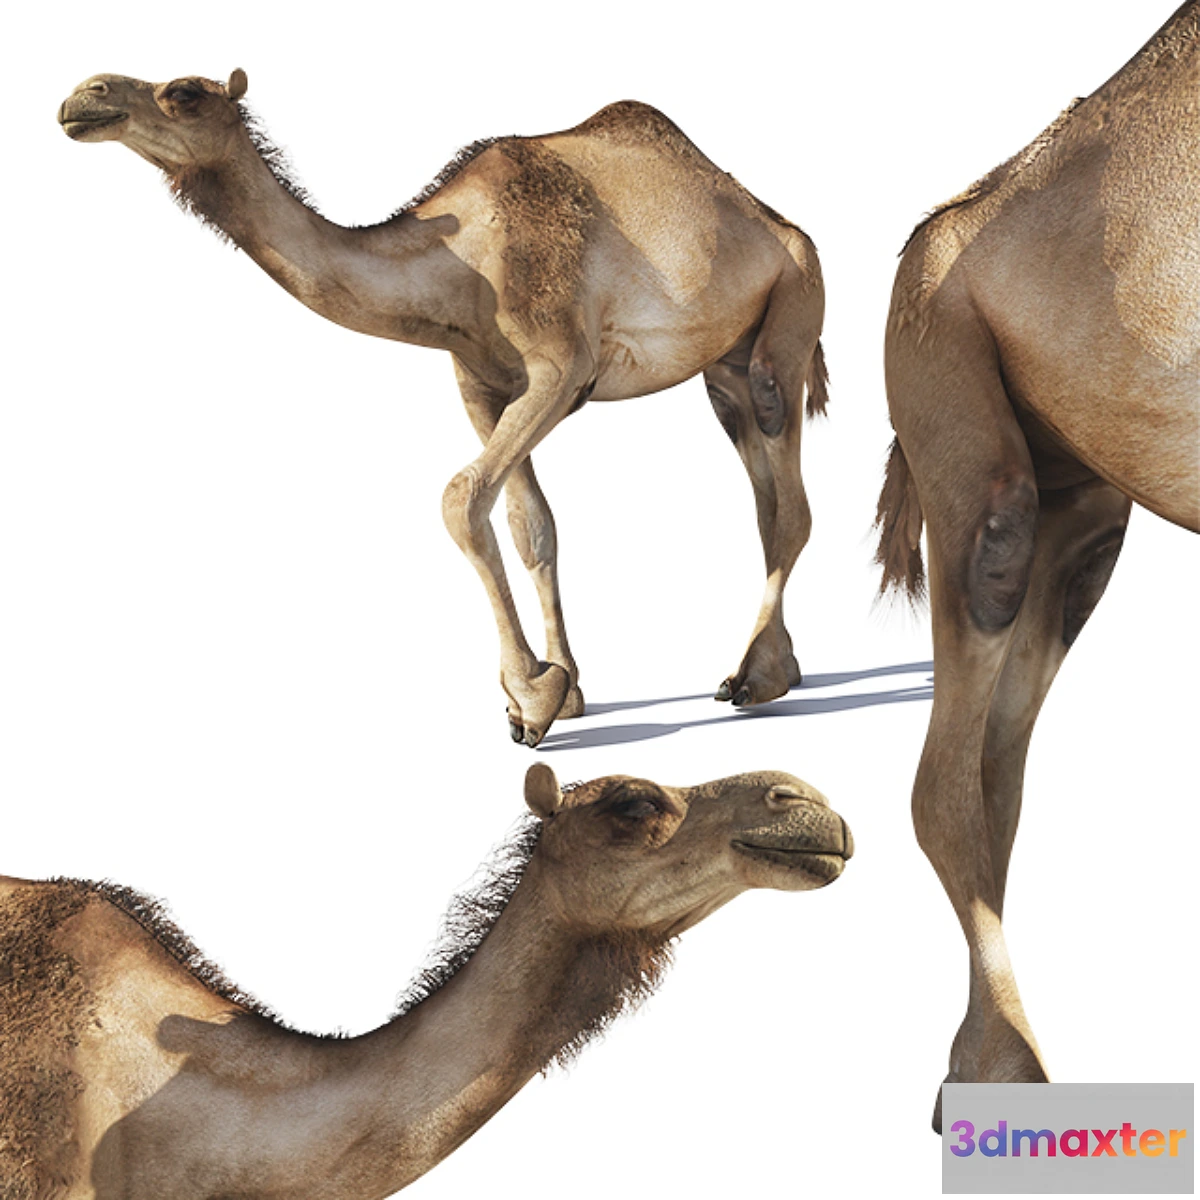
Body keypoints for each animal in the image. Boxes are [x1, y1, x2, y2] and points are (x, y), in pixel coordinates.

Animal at [57, 74, 829, 748]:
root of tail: (780, 221)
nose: (82, 97)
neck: (461, 259)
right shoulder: (479, 382)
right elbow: (531, 526)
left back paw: (755, 677)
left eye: (184, 92)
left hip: (792, 311)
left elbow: (460, 498)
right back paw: (785, 669)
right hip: (724, 368)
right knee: (764, 497)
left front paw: (529, 698)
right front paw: (568, 688)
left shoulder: (562, 364)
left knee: (790, 499)